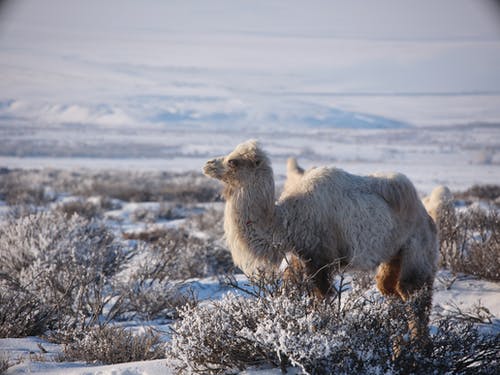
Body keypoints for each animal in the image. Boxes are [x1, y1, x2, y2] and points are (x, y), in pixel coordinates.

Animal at [203, 142, 438, 346]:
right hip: (393, 254)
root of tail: (427, 216)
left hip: (417, 247)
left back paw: (419, 348)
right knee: (389, 288)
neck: (286, 221)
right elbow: (291, 296)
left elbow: (321, 299)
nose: (208, 164)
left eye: (233, 161)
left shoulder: (320, 259)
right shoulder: (298, 258)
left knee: (414, 293)